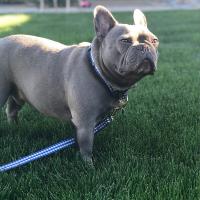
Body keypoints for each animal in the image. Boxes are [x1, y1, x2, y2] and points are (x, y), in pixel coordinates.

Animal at [0, 6, 159, 166]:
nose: (144, 47)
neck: (98, 71)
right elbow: (87, 144)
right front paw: (89, 165)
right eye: (125, 41)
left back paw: (15, 127)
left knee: (12, 109)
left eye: (154, 40)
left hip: (18, 92)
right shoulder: (85, 123)